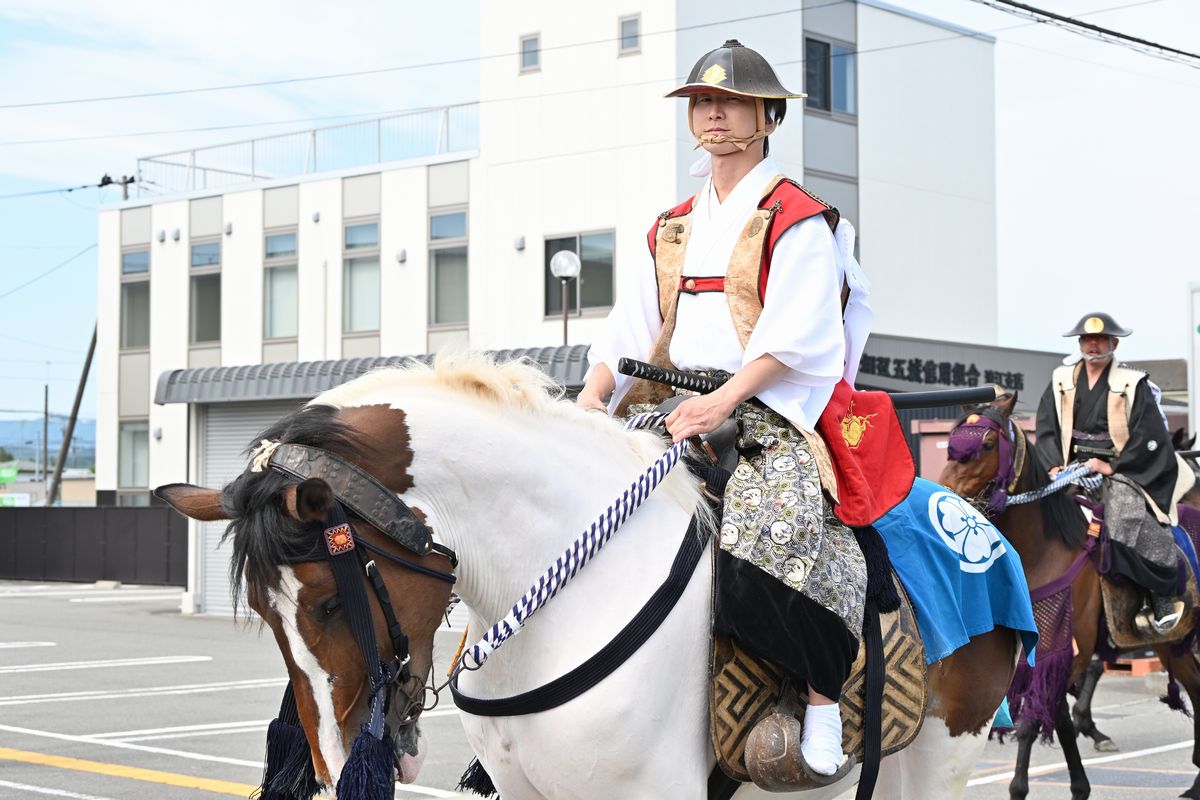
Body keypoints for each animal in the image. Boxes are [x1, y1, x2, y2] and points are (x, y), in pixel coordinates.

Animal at [936, 393, 1200, 800]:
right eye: (951, 444)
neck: (1045, 552)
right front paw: (1077, 782)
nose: (944, 492)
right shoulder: (1046, 650)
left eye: (988, 444)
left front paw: (1021, 786)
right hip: (1172, 644)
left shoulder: (1072, 644)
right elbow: (1055, 713)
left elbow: (1036, 718)